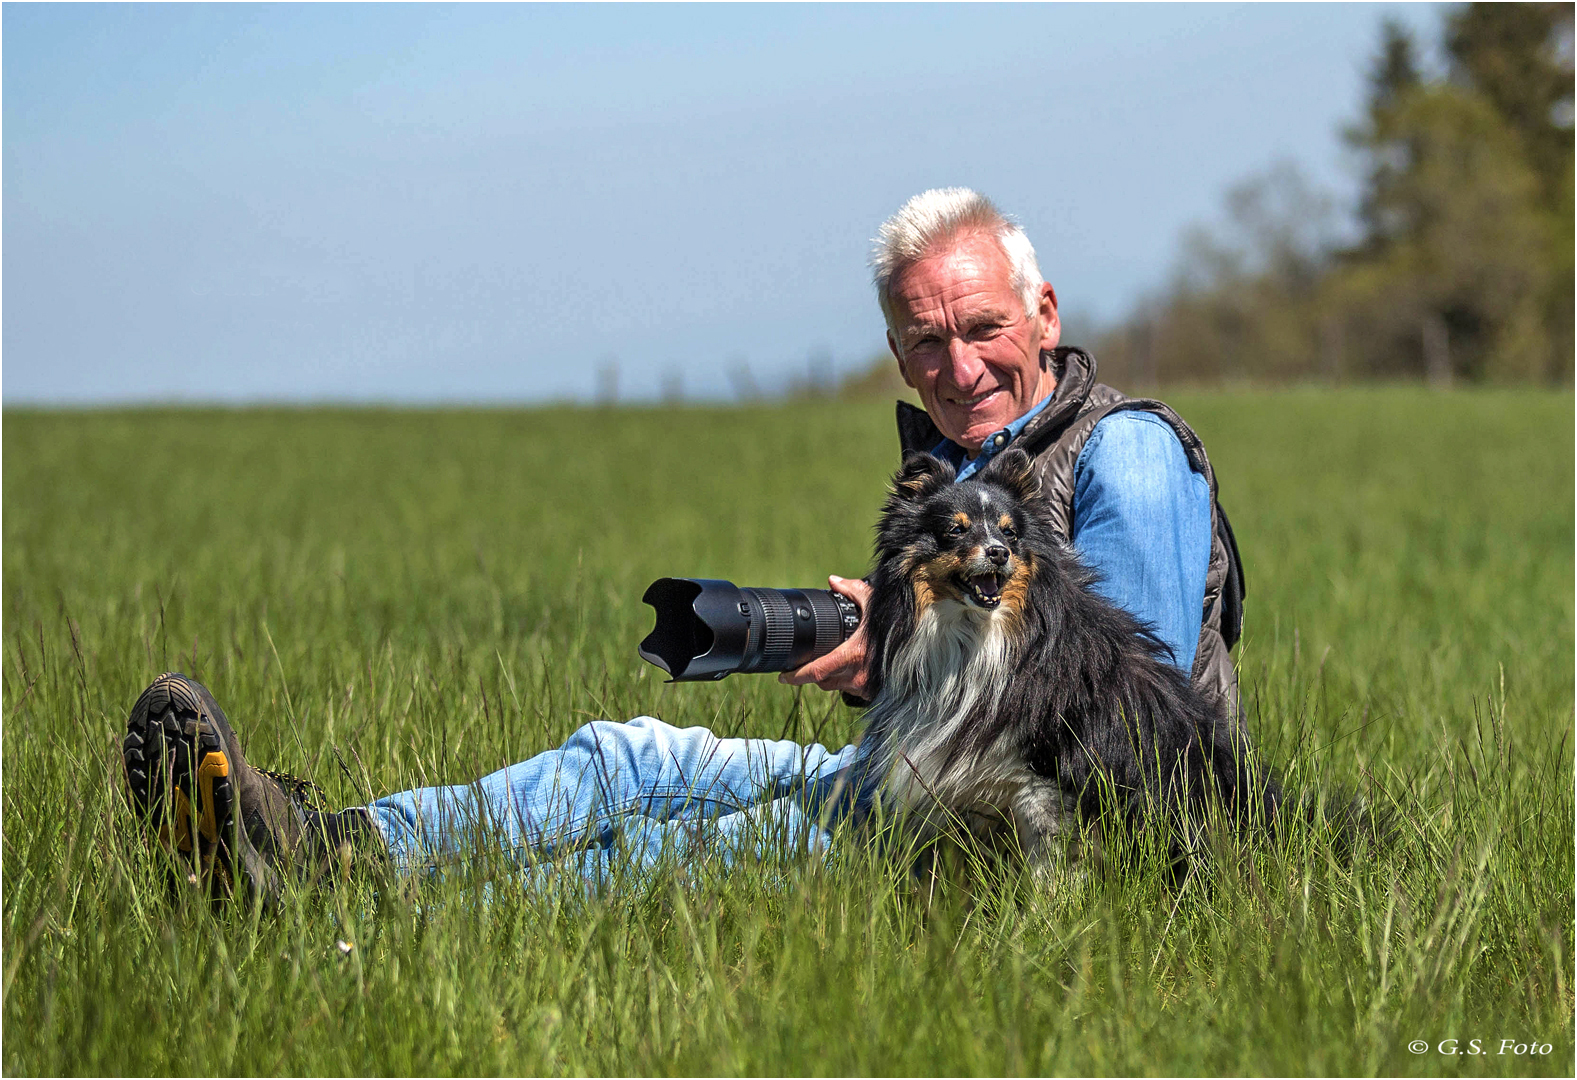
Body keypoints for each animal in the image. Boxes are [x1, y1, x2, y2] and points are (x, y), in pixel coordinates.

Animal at [851, 447, 1280, 876]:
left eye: (1009, 533)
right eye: (956, 529)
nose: (998, 553)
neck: (978, 635)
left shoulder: (1043, 778)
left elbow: (1049, 866)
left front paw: (1047, 897)